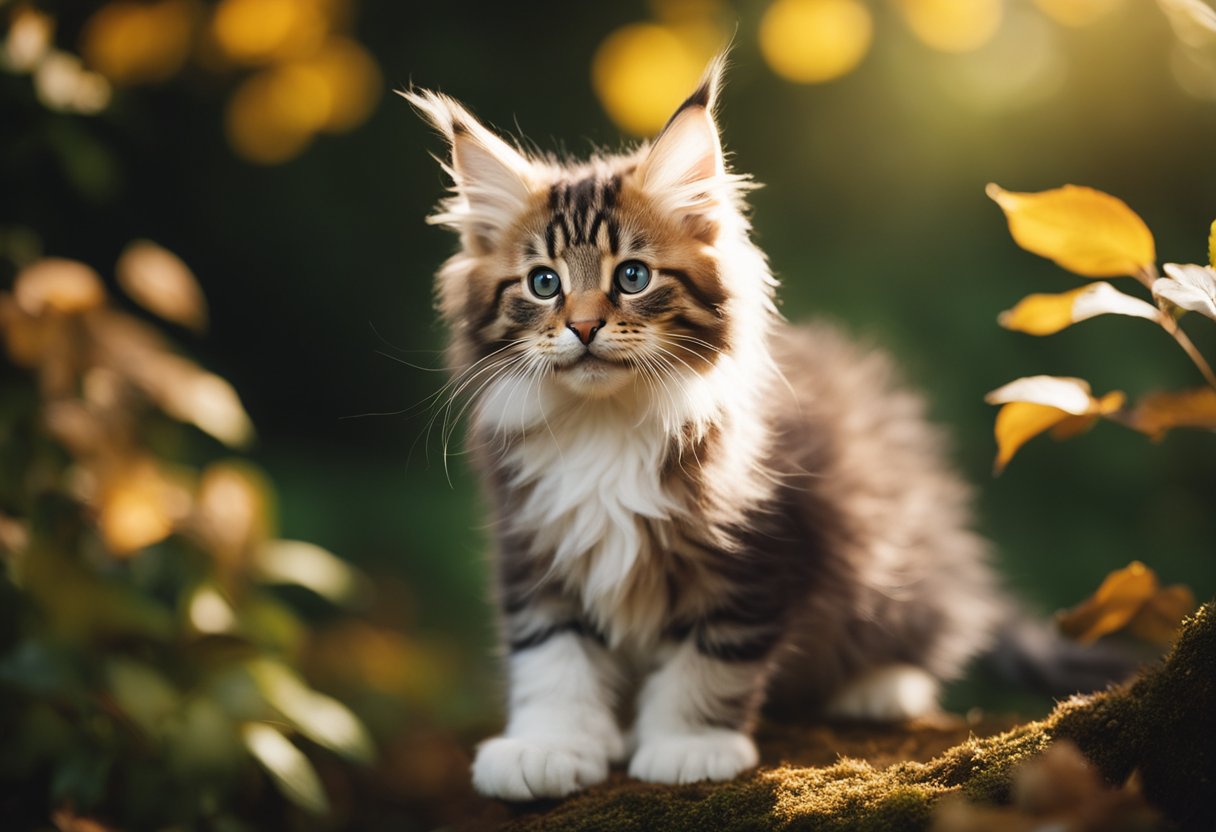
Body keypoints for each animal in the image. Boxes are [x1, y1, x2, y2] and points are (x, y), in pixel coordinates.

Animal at [403, 58, 1001, 797]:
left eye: (632, 276)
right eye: (543, 284)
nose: (583, 326)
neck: (607, 425)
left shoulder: (752, 549)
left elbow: (710, 657)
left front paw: (688, 745)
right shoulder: (533, 541)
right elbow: (552, 654)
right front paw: (548, 746)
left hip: (894, 540)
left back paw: (880, 685)